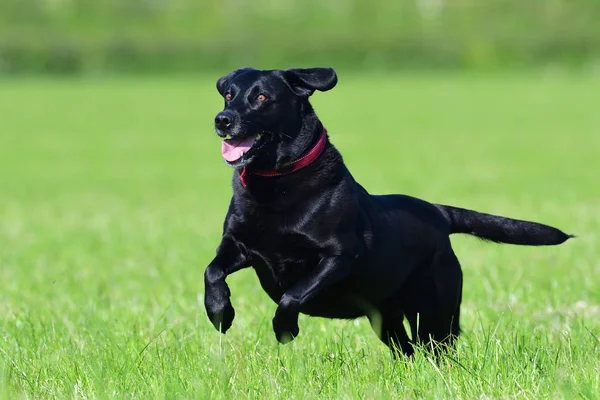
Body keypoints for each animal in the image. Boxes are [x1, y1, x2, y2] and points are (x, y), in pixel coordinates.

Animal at [204, 66, 576, 356]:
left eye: (261, 98)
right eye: (228, 96)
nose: (222, 120)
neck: (276, 182)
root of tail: (438, 213)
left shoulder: (339, 256)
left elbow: (293, 294)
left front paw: (285, 329)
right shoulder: (237, 245)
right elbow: (212, 271)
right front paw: (220, 312)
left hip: (435, 311)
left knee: (436, 347)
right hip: (386, 317)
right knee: (407, 349)